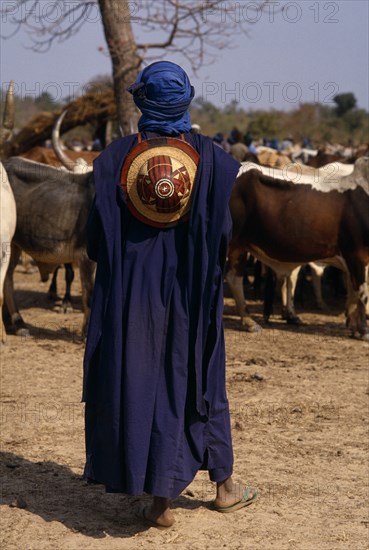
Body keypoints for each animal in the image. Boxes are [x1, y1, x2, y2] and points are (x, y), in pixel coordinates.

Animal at [227, 156, 368, 340]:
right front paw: (364, 330)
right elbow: (364, 294)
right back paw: (249, 320)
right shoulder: (358, 256)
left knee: (233, 278)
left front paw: (355, 327)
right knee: (231, 278)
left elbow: (354, 294)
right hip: (234, 242)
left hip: (241, 245)